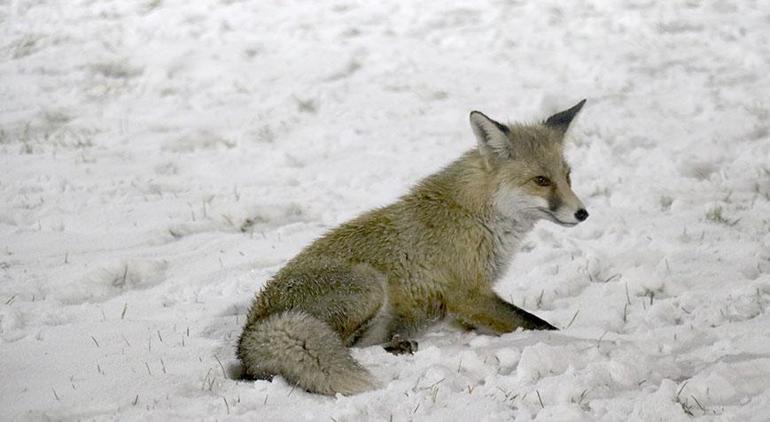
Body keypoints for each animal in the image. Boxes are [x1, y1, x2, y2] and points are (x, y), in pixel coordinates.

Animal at [238, 99, 588, 396]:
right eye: (541, 181)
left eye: (568, 177)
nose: (583, 213)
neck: (477, 217)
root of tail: (249, 334)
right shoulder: (469, 296)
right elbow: (541, 326)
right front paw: (581, 340)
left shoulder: (467, 307)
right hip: (369, 286)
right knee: (345, 344)